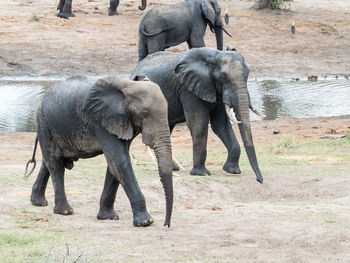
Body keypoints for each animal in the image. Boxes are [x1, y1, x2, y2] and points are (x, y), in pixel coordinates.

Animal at [26, 75, 174, 228]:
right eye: (144, 113)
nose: (166, 224)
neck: (128, 85)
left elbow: (114, 165)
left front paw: (108, 217)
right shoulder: (100, 122)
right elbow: (120, 162)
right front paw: (146, 222)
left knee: (49, 161)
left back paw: (38, 202)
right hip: (43, 123)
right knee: (55, 163)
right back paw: (65, 211)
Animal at [130, 47, 264, 184]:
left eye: (248, 74)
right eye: (223, 77)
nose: (259, 180)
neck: (215, 55)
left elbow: (221, 125)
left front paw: (232, 171)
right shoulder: (187, 88)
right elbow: (199, 123)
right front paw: (201, 174)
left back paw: (172, 168)